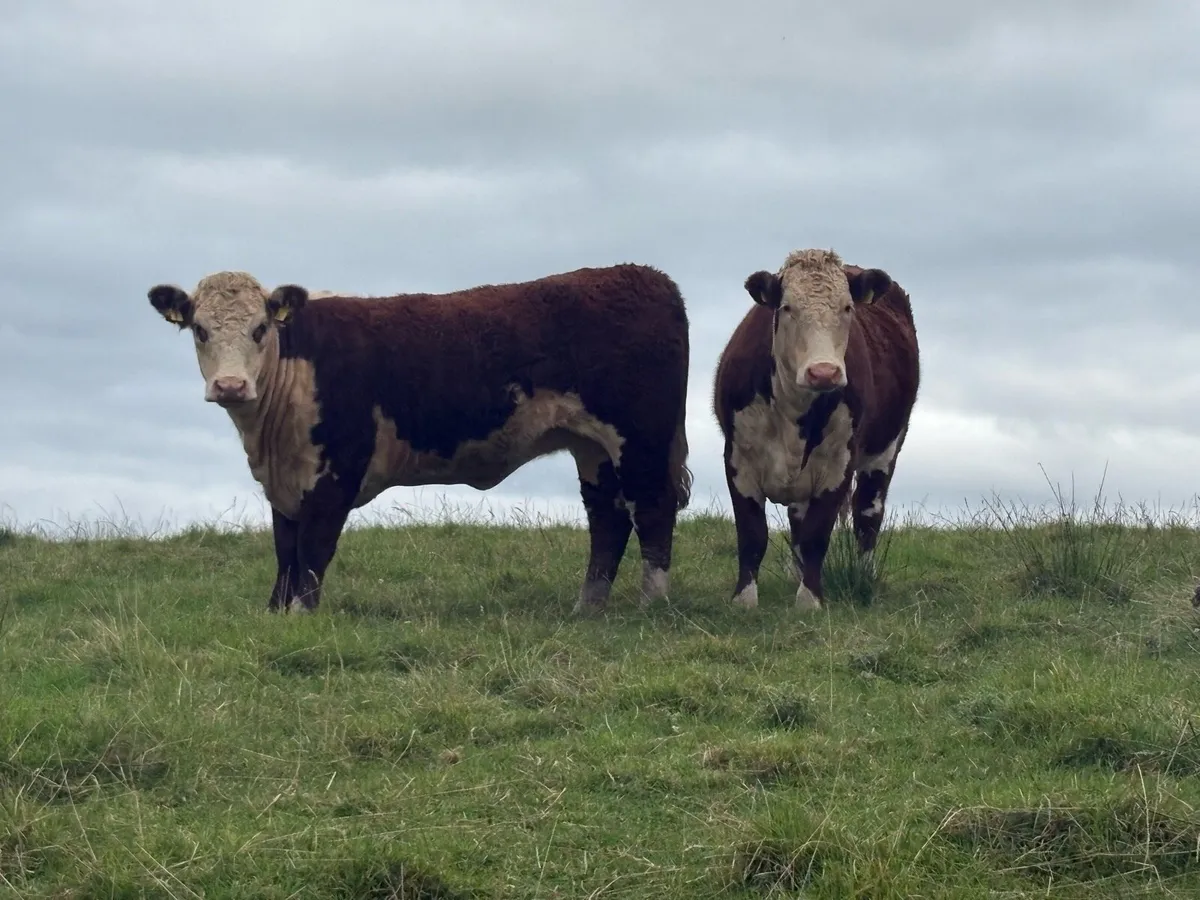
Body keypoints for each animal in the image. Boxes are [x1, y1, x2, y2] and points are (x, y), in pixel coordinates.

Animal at [146, 265, 693, 615]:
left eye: (260, 328)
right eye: (199, 330)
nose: (230, 385)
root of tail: (646, 276)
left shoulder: (336, 470)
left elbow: (313, 549)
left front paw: (302, 615)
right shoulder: (286, 479)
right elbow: (285, 549)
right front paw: (275, 614)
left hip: (640, 437)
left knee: (652, 506)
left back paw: (652, 603)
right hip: (592, 446)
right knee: (608, 518)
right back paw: (588, 607)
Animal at [712, 248, 919, 610]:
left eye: (847, 307)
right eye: (787, 307)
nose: (823, 372)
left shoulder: (839, 464)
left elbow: (816, 536)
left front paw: (809, 601)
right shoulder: (738, 459)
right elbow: (752, 535)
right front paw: (744, 601)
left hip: (886, 448)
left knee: (867, 514)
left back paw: (863, 576)